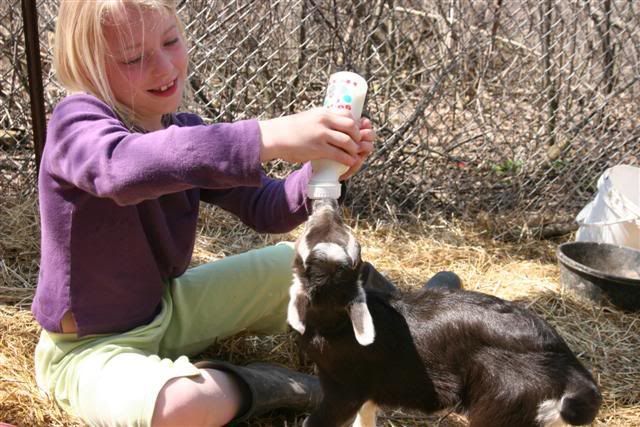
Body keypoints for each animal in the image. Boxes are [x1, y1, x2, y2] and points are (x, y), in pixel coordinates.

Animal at [288, 198, 602, 427]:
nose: (326, 206)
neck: (336, 325)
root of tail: (566, 365)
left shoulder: (343, 390)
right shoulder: (370, 391)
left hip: (505, 403)